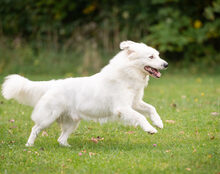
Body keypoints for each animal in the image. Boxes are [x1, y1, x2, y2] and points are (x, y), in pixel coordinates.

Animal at [1, 40, 168, 146]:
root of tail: (54, 83)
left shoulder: (135, 102)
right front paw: (150, 129)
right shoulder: (122, 107)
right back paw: (29, 145)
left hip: (72, 122)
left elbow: (151, 108)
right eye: (151, 56)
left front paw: (158, 122)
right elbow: (140, 116)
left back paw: (68, 147)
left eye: (158, 55)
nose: (166, 64)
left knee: (61, 139)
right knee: (35, 129)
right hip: (48, 118)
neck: (127, 74)